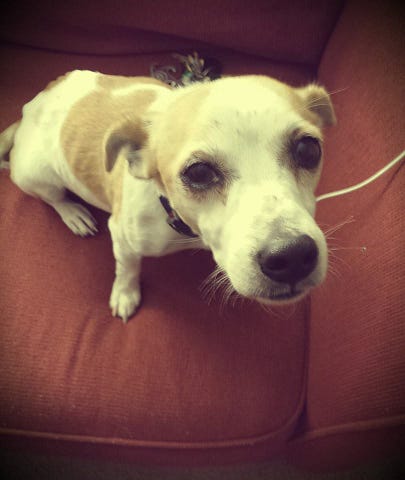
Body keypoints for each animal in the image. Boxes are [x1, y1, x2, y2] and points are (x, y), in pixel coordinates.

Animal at [0, 69, 334, 320]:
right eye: (198, 173)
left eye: (308, 149)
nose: (292, 256)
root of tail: (31, 108)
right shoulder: (122, 236)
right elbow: (127, 268)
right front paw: (125, 294)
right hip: (35, 174)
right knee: (52, 197)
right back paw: (73, 214)